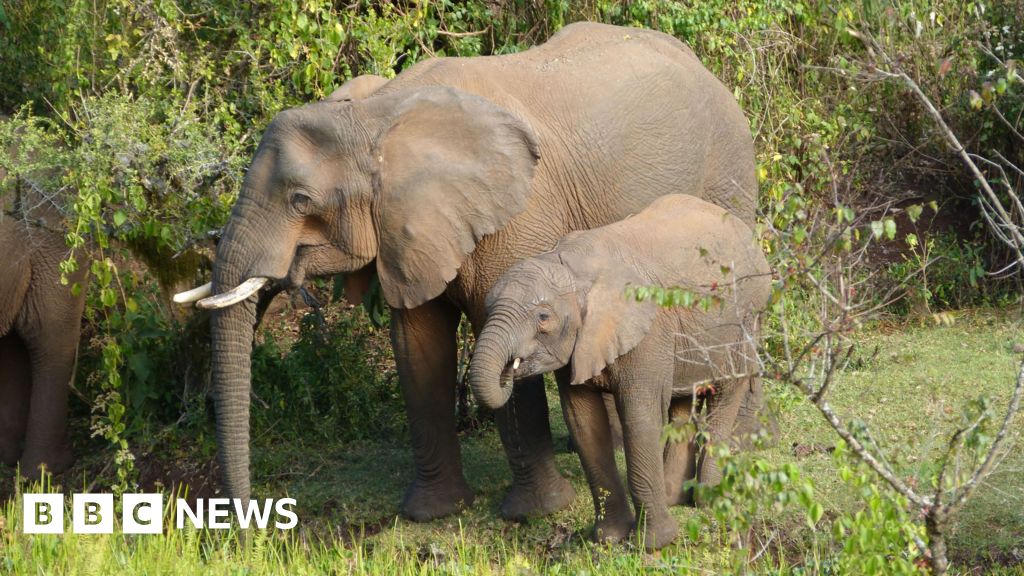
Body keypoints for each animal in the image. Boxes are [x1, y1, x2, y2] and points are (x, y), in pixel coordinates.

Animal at [174, 22, 759, 522]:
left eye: (300, 200)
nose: (245, 528)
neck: (377, 115)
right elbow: (417, 344)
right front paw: (432, 513)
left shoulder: (519, 215)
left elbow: (496, 331)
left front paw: (533, 513)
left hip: (730, 175)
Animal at [468, 194, 772, 549]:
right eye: (487, 309)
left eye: (543, 317)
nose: (509, 369)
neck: (572, 267)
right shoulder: (581, 344)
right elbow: (584, 421)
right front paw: (608, 539)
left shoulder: (647, 332)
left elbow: (640, 417)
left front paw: (654, 544)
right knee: (681, 402)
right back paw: (673, 499)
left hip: (745, 318)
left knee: (725, 395)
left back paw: (708, 500)